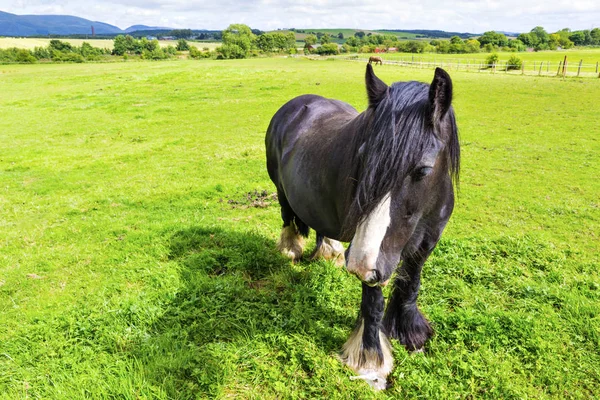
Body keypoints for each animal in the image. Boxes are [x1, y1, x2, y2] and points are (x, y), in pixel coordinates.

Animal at [266, 65, 460, 388]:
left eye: (423, 169)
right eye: (362, 156)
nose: (357, 264)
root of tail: (294, 104)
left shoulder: (425, 243)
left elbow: (411, 285)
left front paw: (412, 336)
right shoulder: (374, 260)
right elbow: (373, 303)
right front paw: (371, 363)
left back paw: (328, 252)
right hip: (280, 190)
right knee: (286, 217)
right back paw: (291, 249)